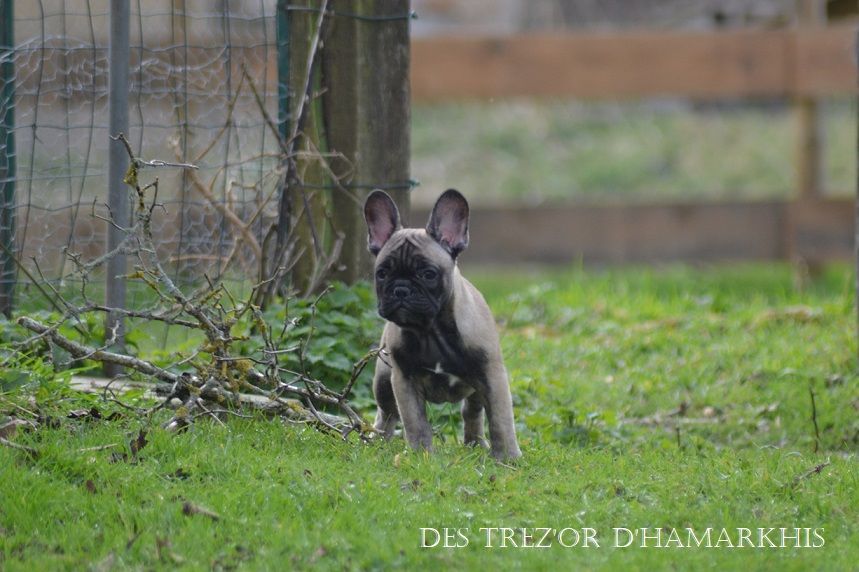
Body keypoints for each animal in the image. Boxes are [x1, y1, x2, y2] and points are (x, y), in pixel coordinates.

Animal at [363, 189, 521, 460]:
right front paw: (421, 455)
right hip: (383, 379)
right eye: (382, 274)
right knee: (387, 413)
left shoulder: (492, 376)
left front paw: (507, 458)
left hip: (477, 387)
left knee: (472, 412)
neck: (431, 331)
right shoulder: (404, 380)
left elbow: (501, 421)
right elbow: (415, 422)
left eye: (428, 274)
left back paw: (475, 443)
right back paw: (379, 441)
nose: (401, 289)